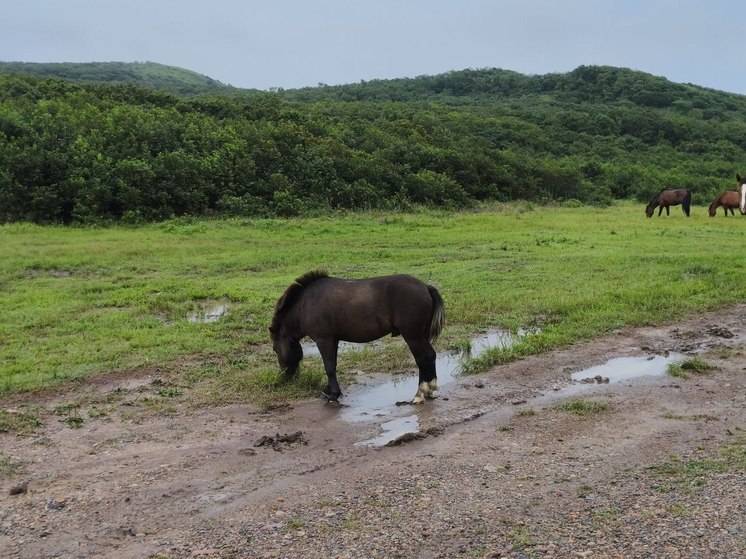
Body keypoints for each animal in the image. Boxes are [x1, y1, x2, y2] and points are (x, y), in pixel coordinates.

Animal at [268, 272, 442, 402]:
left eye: (275, 349)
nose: (284, 377)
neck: (305, 304)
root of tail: (425, 287)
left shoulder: (324, 340)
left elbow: (329, 367)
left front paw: (333, 394)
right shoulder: (334, 340)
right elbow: (332, 365)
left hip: (413, 335)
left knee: (424, 358)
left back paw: (421, 393)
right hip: (420, 335)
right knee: (427, 358)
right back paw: (429, 390)